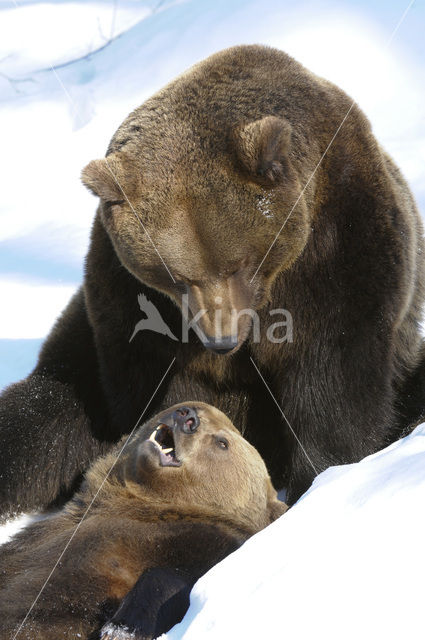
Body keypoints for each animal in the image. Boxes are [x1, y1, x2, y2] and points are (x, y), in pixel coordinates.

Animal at [0, 43, 424, 510]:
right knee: (40, 415)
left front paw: (322, 475)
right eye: (176, 277)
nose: (221, 339)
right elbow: (154, 388)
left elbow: (333, 370)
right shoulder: (129, 298)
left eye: (239, 264)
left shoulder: (337, 245)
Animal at [0, 402, 286, 636]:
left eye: (222, 442)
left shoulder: (209, 540)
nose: (187, 417)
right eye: (194, 406)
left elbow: (183, 578)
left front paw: (121, 628)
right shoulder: (43, 538)